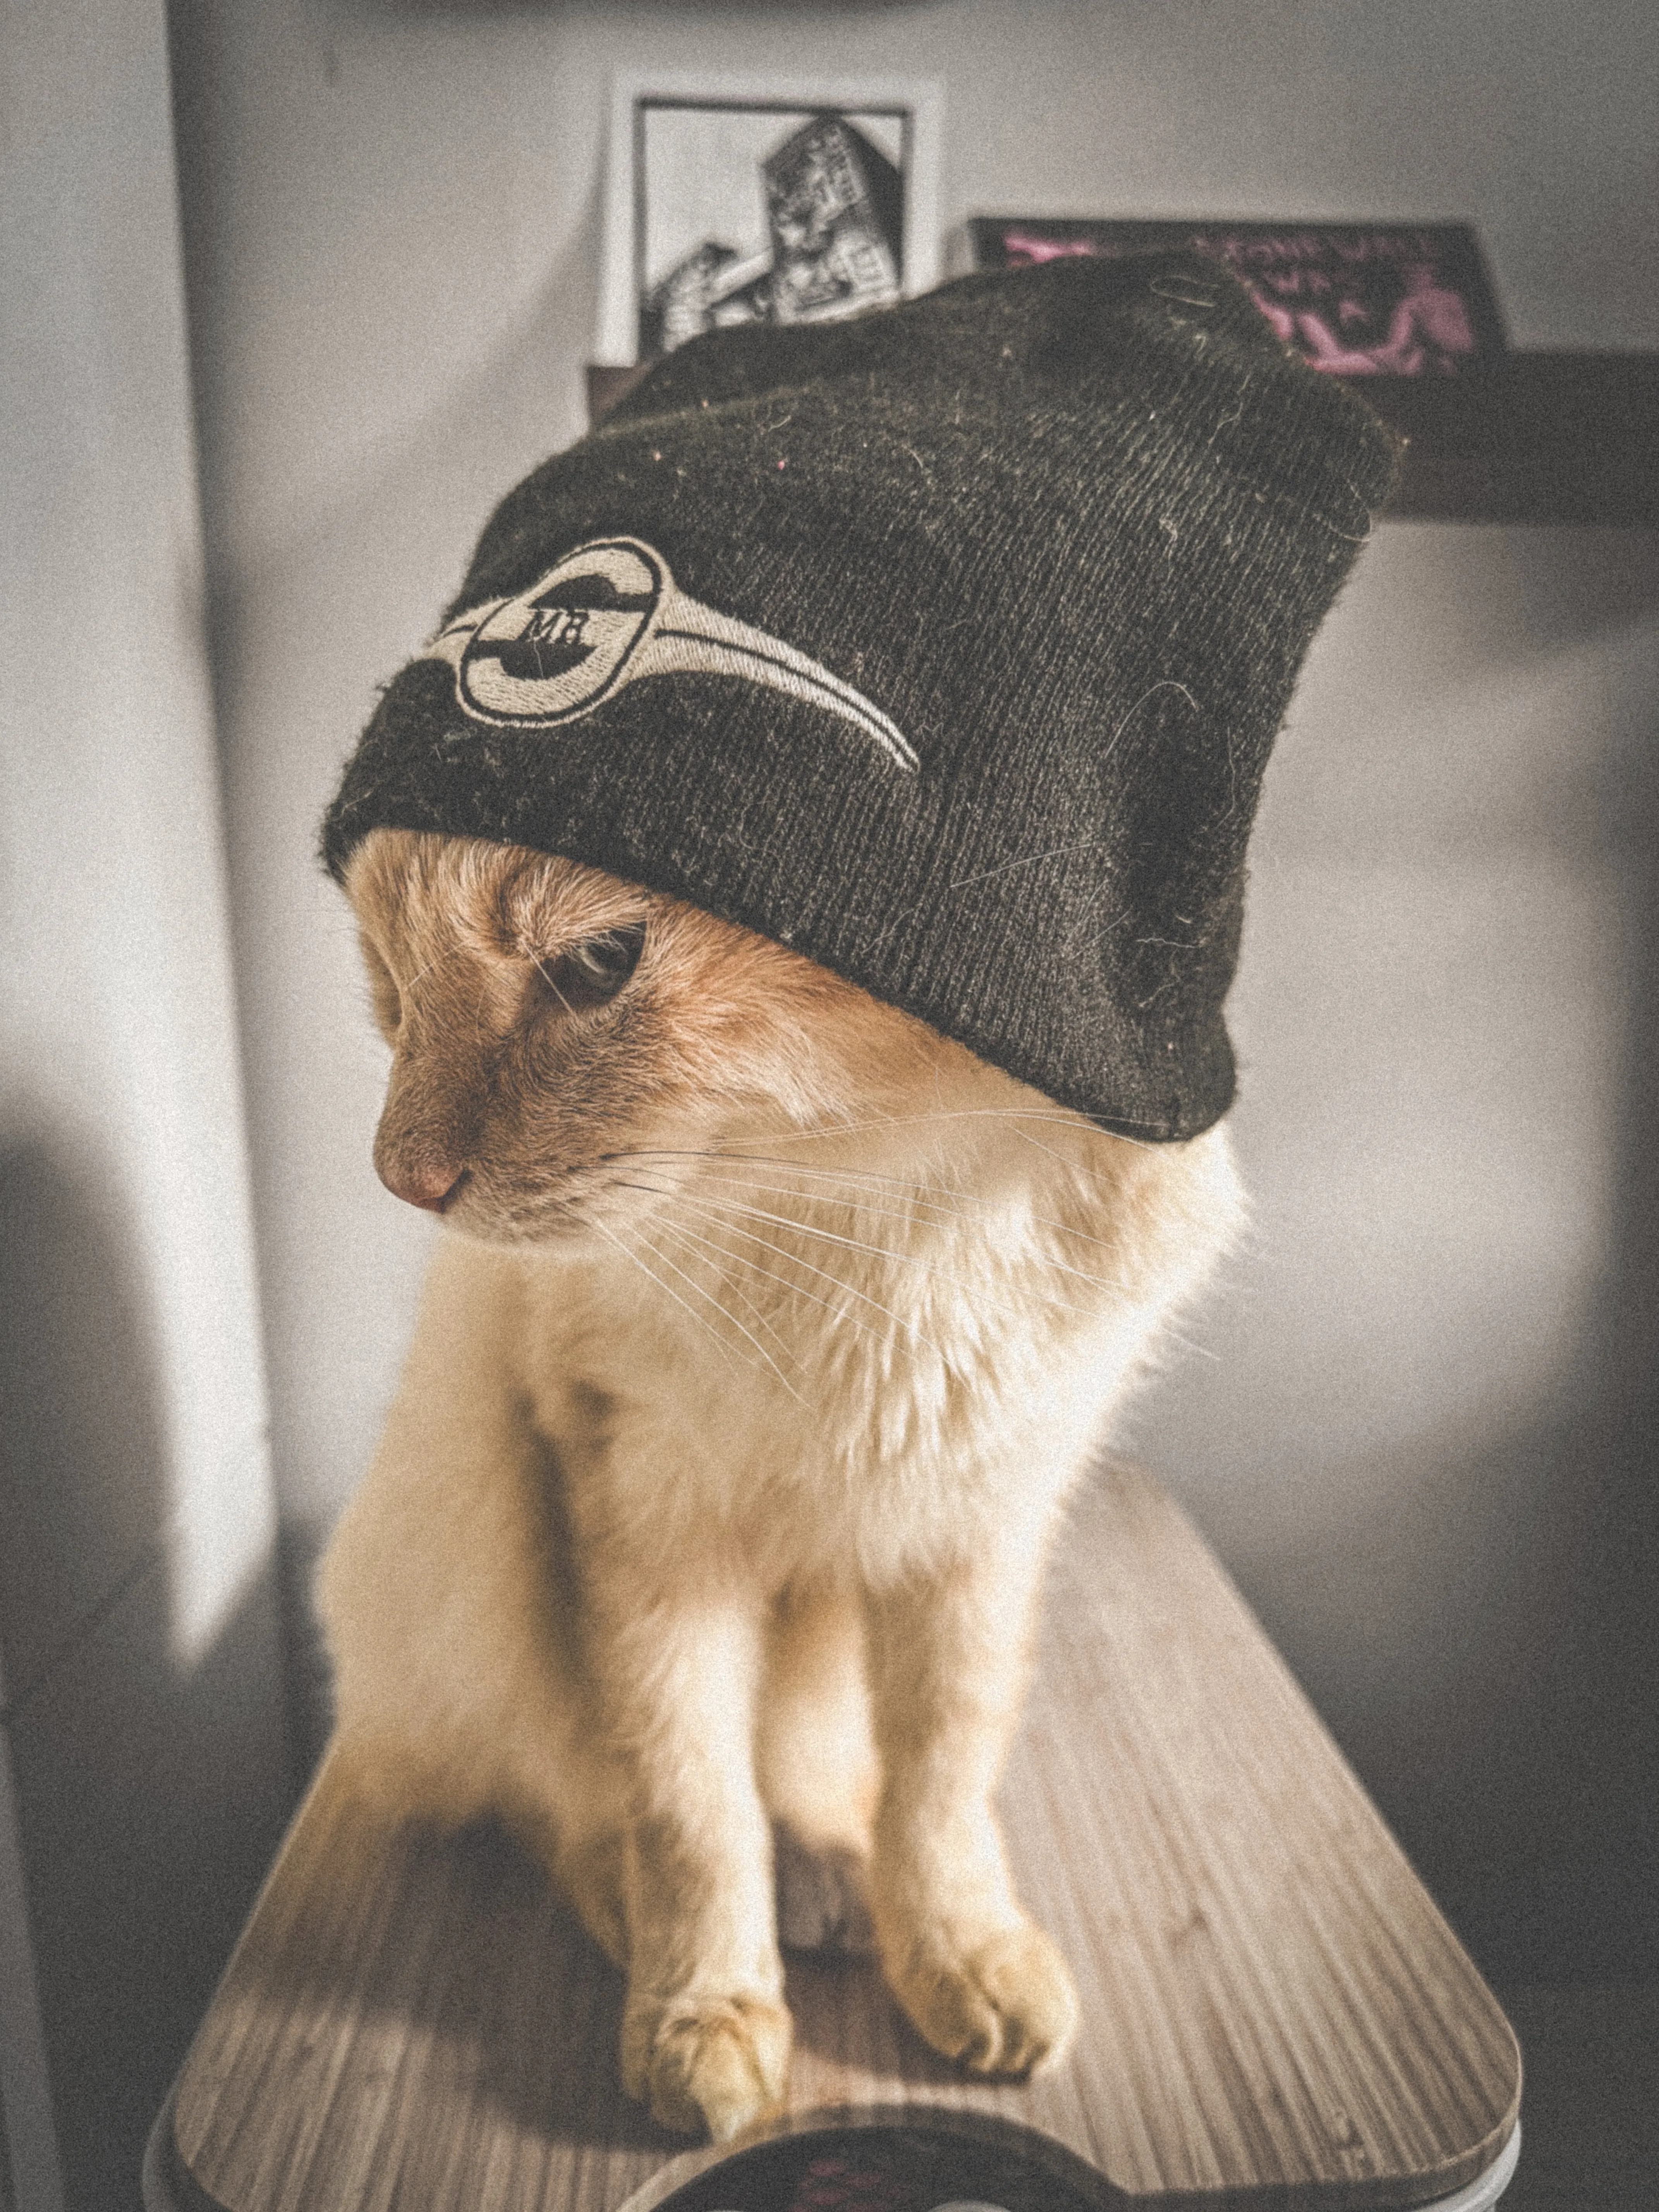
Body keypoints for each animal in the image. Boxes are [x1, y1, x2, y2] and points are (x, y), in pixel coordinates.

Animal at [318, 823, 1238, 2132]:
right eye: (391, 986)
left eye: (599, 961)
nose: (404, 1178)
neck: (868, 1220)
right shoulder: (648, 1529)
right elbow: (687, 1803)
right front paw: (707, 2017)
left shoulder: (981, 1527)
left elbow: (942, 1774)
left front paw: (961, 1960)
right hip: (468, 1496)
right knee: (547, 1786)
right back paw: (694, 1922)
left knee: (810, 1770)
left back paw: (835, 1886)